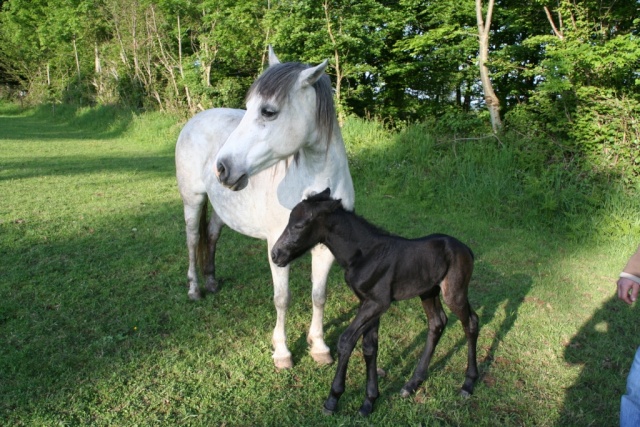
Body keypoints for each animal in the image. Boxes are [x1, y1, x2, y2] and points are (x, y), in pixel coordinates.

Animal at [175, 46, 356, 368]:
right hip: (193, 200)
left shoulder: (325, 249)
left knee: (212, 236)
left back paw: (211, 282)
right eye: (248, 106)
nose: (222, 168)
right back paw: (195, 289)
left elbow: (319, 295)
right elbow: (282, 299)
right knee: (193, 239)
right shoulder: (276, 247)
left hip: (222, 209)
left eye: (268, 111)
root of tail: (195, 120)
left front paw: (319, 346)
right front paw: (282, 352)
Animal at [272, 189, 480, 416]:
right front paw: (369, 401)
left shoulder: (378, 303)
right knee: (437, 323)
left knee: (471, 322)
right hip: (428, 292)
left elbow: (346, 341)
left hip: (454, 293)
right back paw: (412, 384)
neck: (364, 254)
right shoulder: (368, 302)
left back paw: (468, 383)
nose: (276, 254)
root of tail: (467, 249)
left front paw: (333, 399)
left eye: (299, 225)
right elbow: (369, 346)